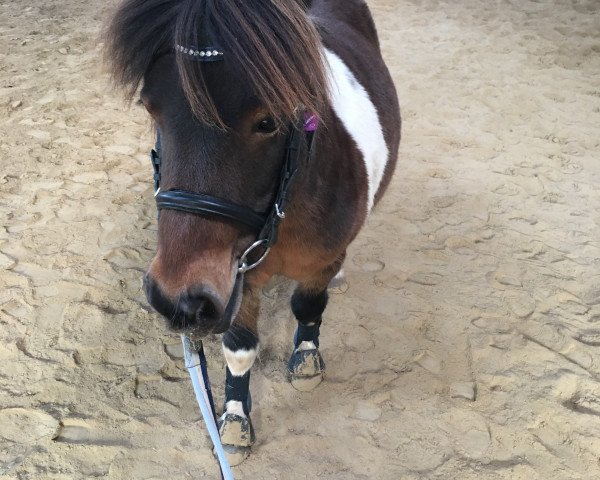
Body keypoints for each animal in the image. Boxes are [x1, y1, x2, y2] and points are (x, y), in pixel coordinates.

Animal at [105, 0, 400, 464]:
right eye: (152, 111)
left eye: (267, 122)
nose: (181, 300)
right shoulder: (236, 280)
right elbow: (239, 346)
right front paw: (235, 421)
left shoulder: (315, 262)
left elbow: (308, 307)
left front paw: (306, 361)